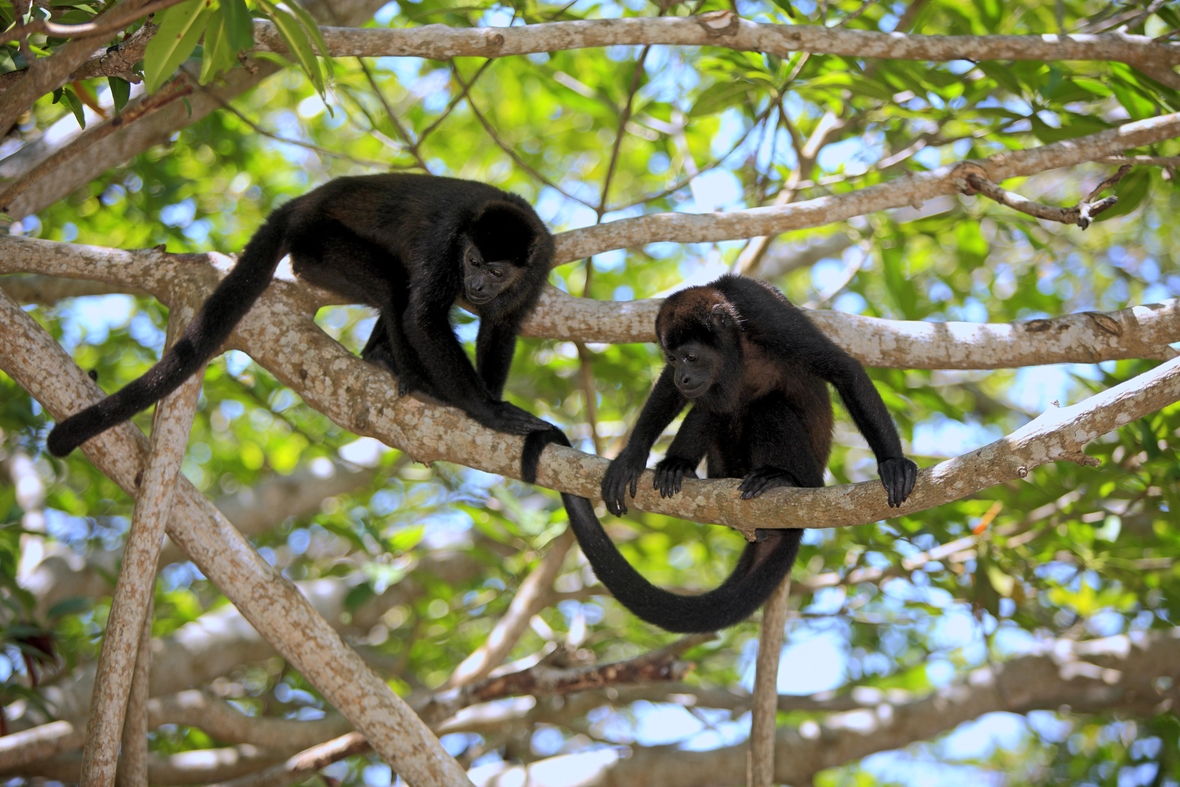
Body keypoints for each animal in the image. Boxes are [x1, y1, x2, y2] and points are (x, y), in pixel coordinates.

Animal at [48, 172, 554, 455]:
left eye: (494, 269)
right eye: (471, 260)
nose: (476, 286)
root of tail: (302, 203)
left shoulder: (539, 262)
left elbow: (501, 325)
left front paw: (488, 393)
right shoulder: (444, 242)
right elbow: (423, 317)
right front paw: (487, 412)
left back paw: (385, 358)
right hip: (319, 246)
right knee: (396, 290)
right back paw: (406, 371)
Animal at [528, 276, 920, 632]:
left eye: (690, 356)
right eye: (672, 358)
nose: (683, 376)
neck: (736, 345)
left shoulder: (766, 315)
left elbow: (844, 369)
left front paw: (893, 463)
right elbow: (670, 394)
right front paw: (631, 457)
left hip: (810, 472)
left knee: (768, 407)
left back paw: (780, 478)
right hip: (723, 464)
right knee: (711, 407)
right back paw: (678, 467)